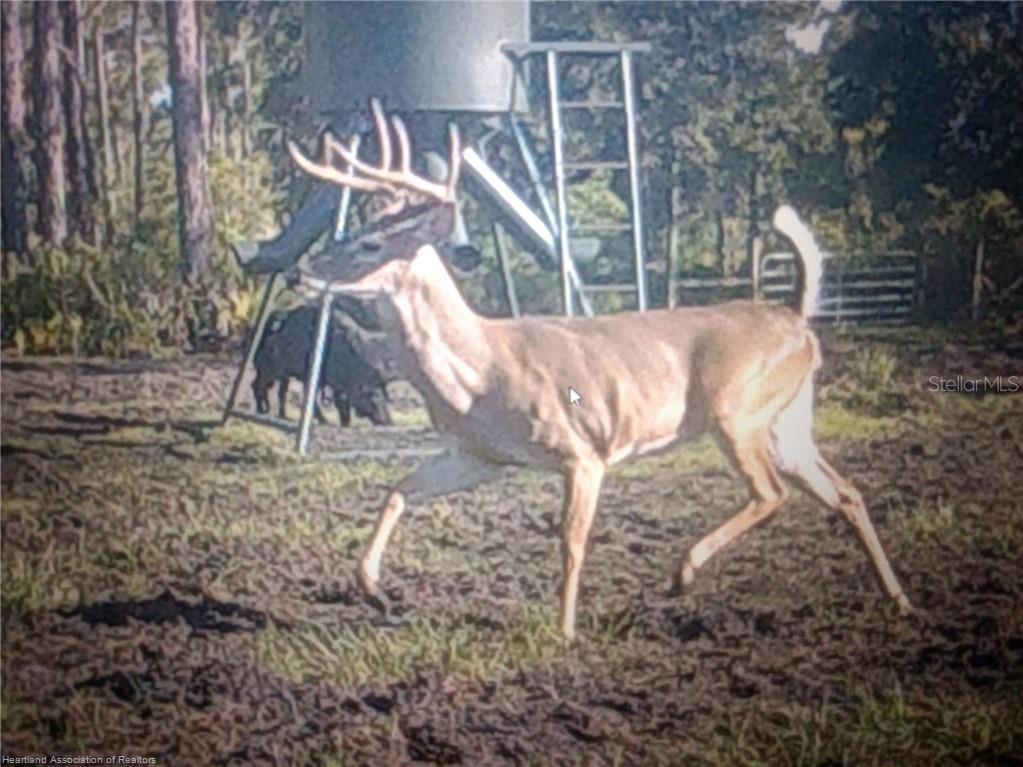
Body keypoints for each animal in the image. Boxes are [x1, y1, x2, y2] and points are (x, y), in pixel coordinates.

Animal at [287, 100, 913, 640]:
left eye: (370, 245)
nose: (299, 271)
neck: (479, 373)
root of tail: (796, 319)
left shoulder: (581, 450)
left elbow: (571, 539)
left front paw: (564, 630)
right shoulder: (480, 455)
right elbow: (398, 492)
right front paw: (372, 589)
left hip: (736, 409)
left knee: (771, 492)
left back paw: (684, 572)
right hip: (786, 419)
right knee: (845, 492)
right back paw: (899, 599)